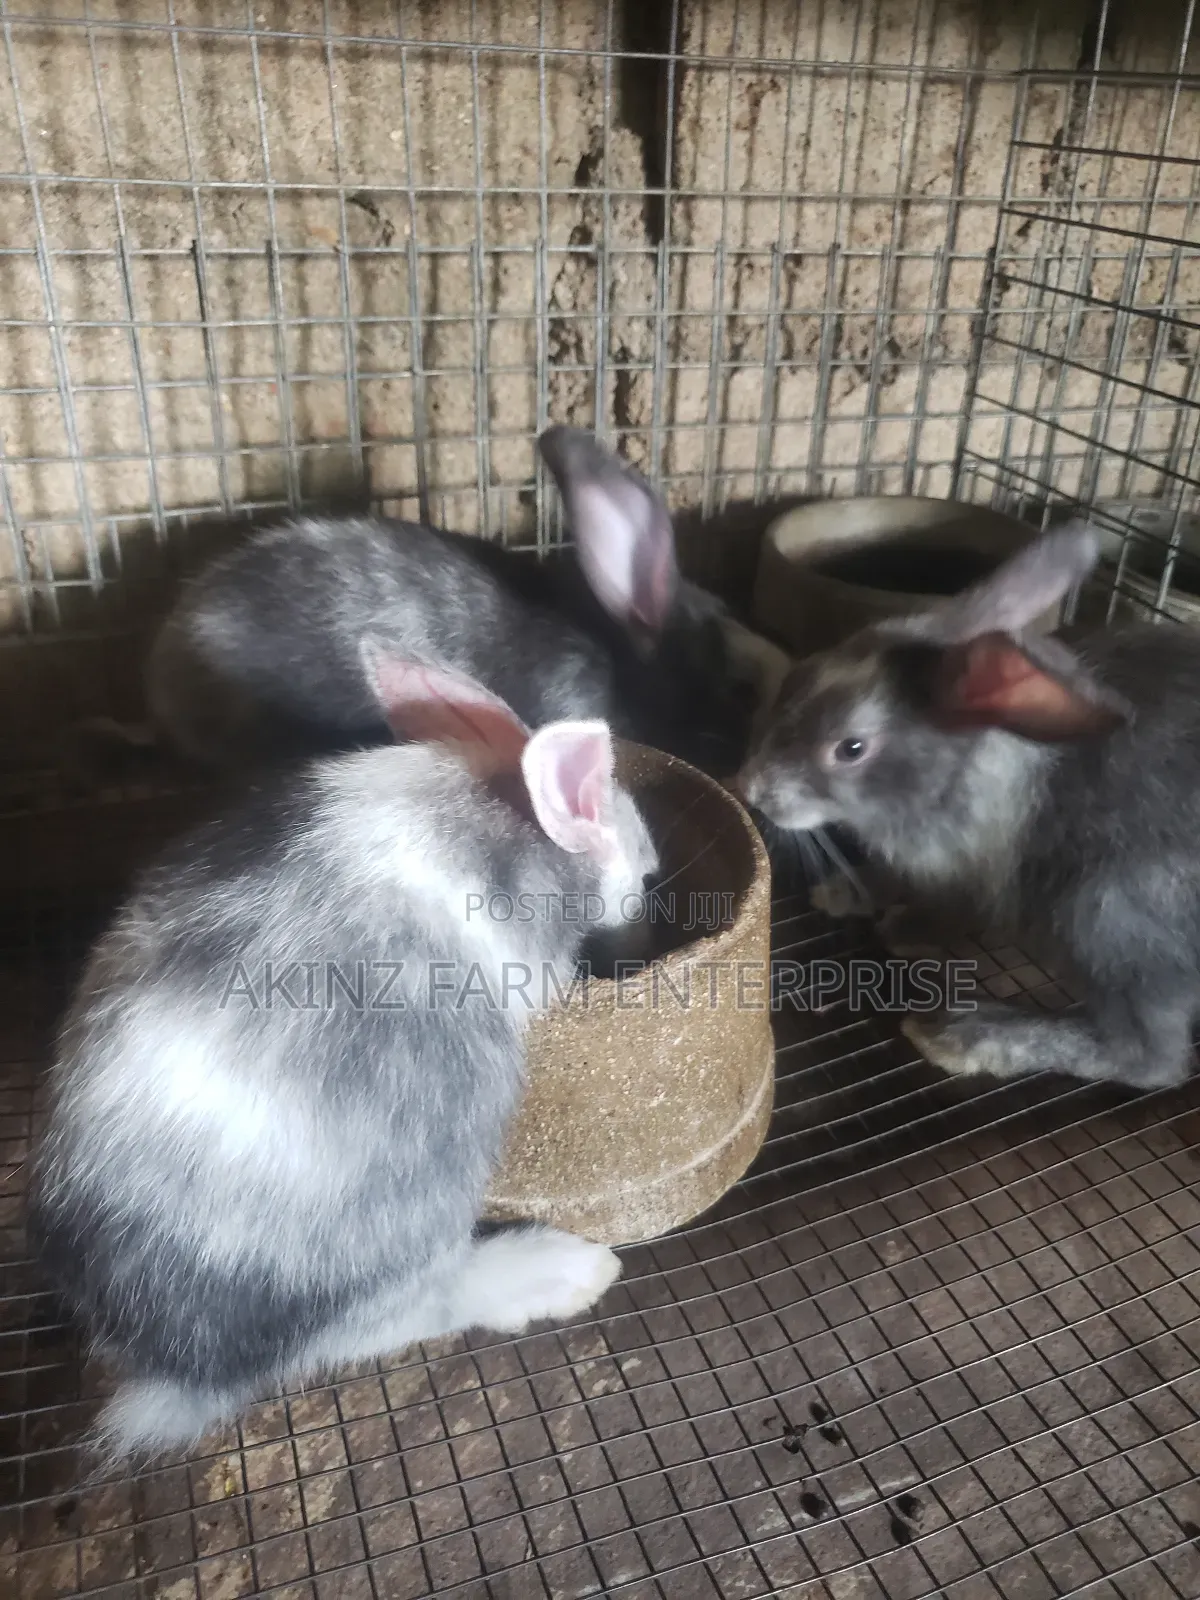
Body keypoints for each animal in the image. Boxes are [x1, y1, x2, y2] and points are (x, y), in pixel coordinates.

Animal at [29, 644, 658, 1467]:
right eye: (643, 871)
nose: (646, 892)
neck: (502, 810)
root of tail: (176, 1362)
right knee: (395, 1315)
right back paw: (566, 1271)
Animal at [735, 520, 1200, 1092]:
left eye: (851, 748)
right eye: (800, 676)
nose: (751, 786)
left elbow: (954, 907)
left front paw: (905, 929)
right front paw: (848, 893)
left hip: (1111, 913)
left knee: (1148, 1054)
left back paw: (964, 1035)